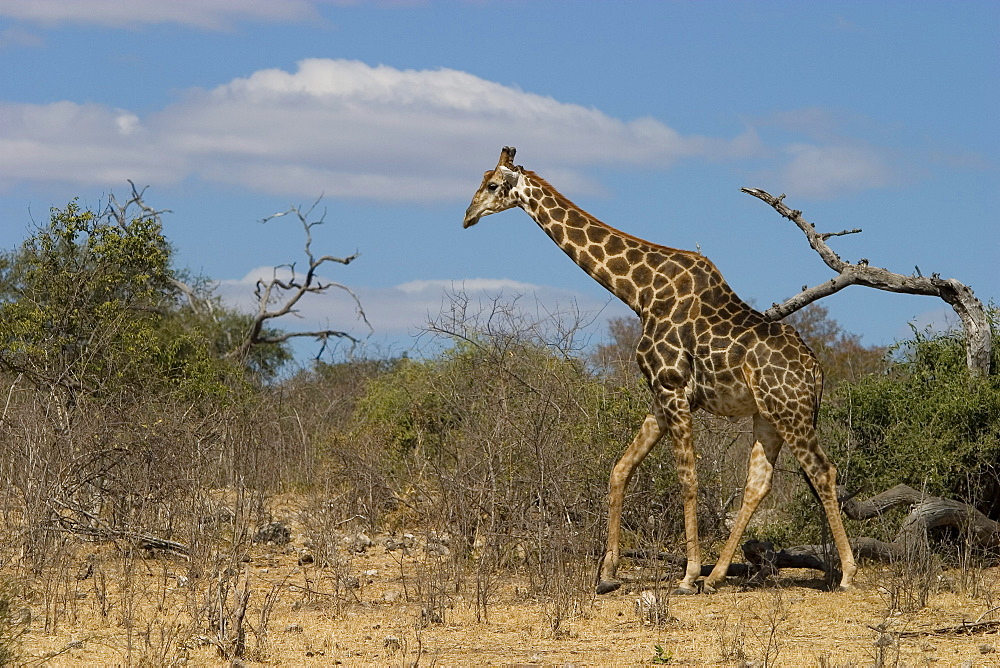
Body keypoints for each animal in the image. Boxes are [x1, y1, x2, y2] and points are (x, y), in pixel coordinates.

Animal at [462, 147, 860, 596]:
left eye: (492, 184)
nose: (468, 216)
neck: (639, 293)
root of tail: (816, 370)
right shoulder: (661, 393)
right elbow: (620, 470)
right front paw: (607, 574)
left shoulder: (671, 386)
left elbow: (687, 477)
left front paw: (687, 575)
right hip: (767, 416)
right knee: (759, 483)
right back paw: (718, 576)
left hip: (790, 411)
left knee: (823, 472)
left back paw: (846, 573)